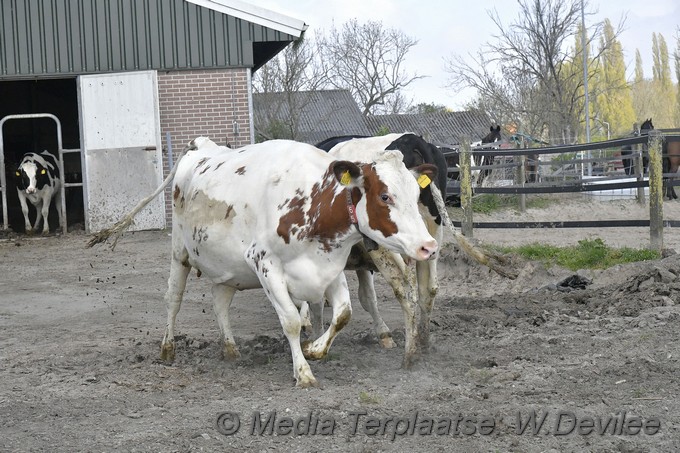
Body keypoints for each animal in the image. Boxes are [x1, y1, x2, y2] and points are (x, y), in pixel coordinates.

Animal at [162, 136, 438, 386]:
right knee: (174, 299)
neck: (312, 203)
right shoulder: (265, 264)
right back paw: (168, 349)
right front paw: (303, 373)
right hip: (179, 253)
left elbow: (343, 314)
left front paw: (314, 349)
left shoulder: (330, 265)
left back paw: (230, 349)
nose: (429, 246)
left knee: (220, 302)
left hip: (229, 270)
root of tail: (202, 145)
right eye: (384, 196)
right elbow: (292, 322)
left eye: (417, 194)